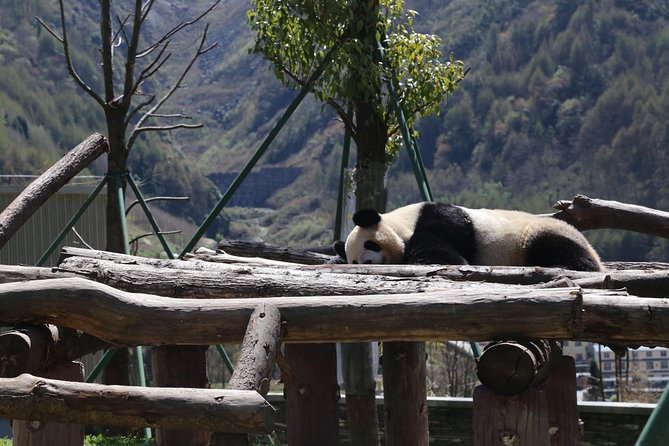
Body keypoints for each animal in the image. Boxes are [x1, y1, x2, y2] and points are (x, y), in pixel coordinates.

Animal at [336, 202, 604, 272]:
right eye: (354, 261)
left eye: (370, 244)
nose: (367, 262)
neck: (401, 222)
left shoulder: (437, 221)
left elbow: (445, 256)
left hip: (534, 235)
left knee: (558, 249)